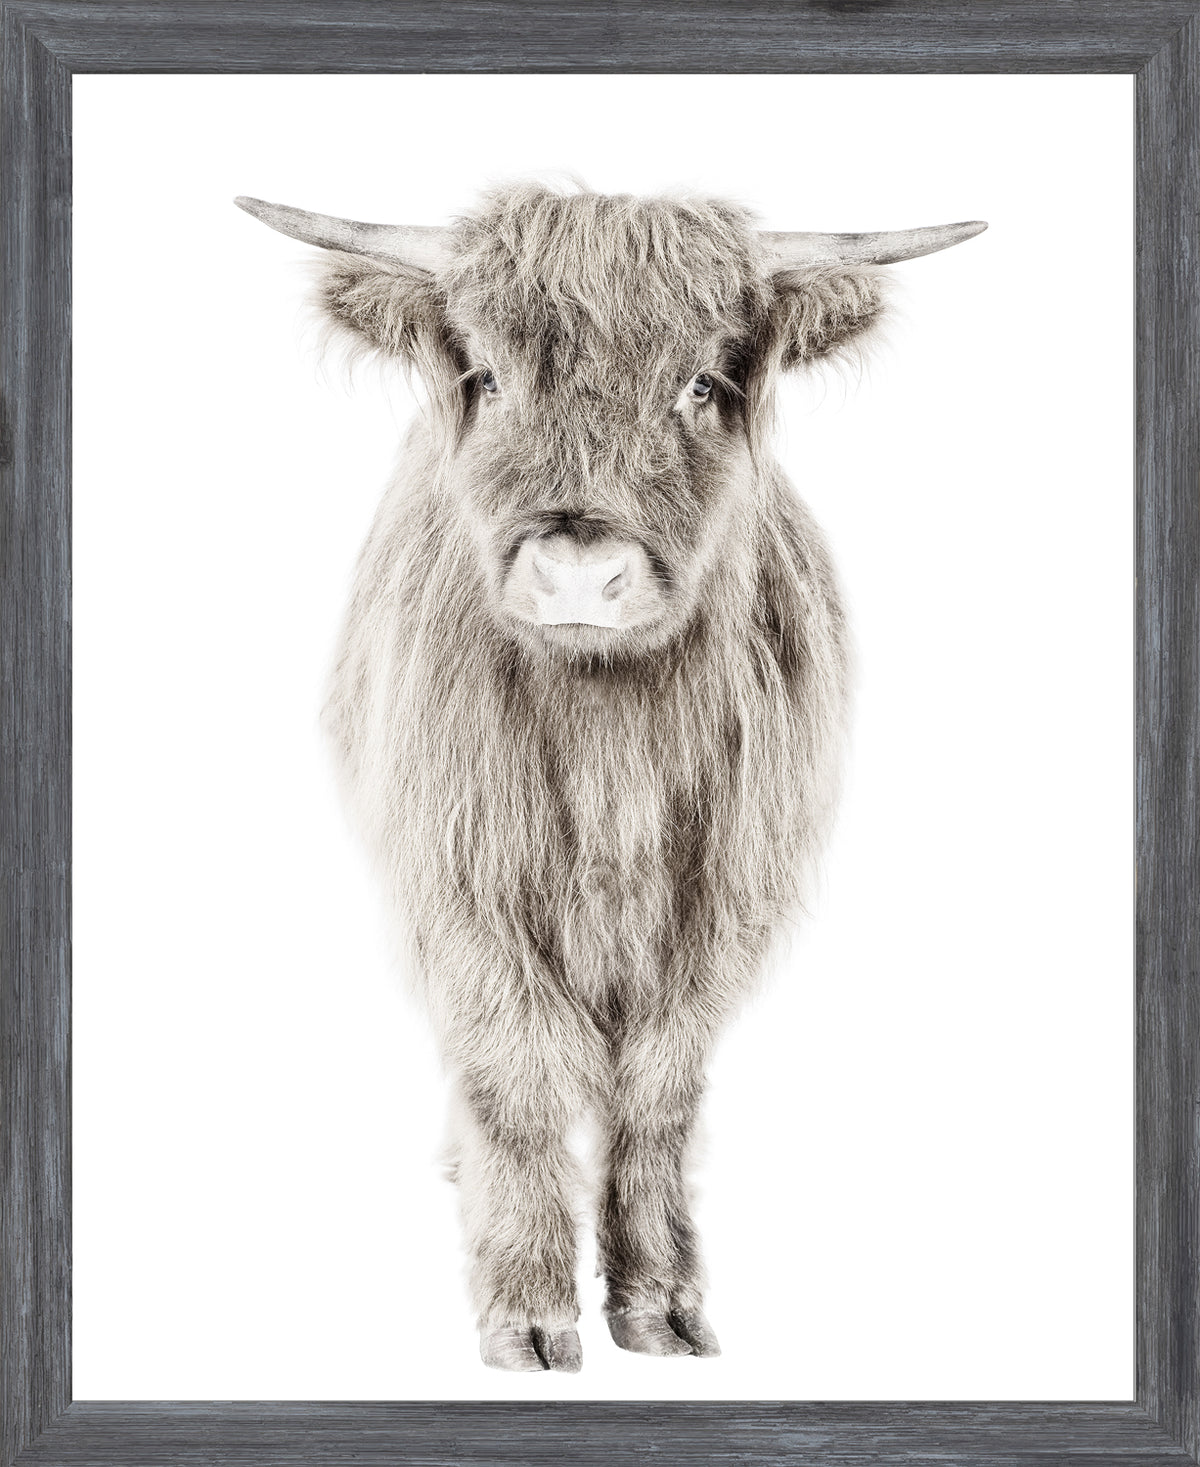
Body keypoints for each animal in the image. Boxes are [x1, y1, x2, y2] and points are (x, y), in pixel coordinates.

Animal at [237, 183, 985, 1372]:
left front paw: (661, 1303)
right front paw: (528, 1311)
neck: (608, 736)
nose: (579, 572)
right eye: (489, 376)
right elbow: (516, 1074)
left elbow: (660, 1091)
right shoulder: (462, 884)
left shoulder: (723, 900)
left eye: (702, 384)